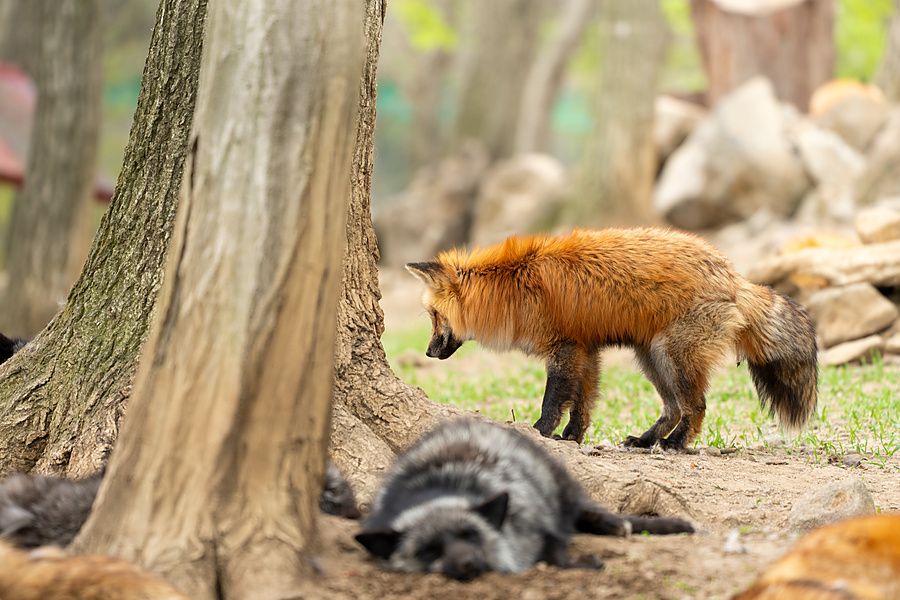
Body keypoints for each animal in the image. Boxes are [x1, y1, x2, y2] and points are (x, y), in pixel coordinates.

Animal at [355, 419, 694, 581]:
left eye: (471, 535)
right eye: (429, 550)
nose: (468, 563)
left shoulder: (539, 520)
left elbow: (555, 555)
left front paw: (579, 565)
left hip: (560, 489)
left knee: (587, 510)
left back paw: (616, 525)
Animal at [407, 228, 818, 448]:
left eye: (434, 317)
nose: (427, 353)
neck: (514, 287)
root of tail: (734, 276)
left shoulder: (564, 349)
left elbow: (553, 401)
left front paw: (540, 433)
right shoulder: (587, 351)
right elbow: (583, 406)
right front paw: (571, 438)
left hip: (673, 356)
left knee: (696, 406)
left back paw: (675, 445)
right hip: (650, 357)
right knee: (673, 408)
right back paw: (646, 440)